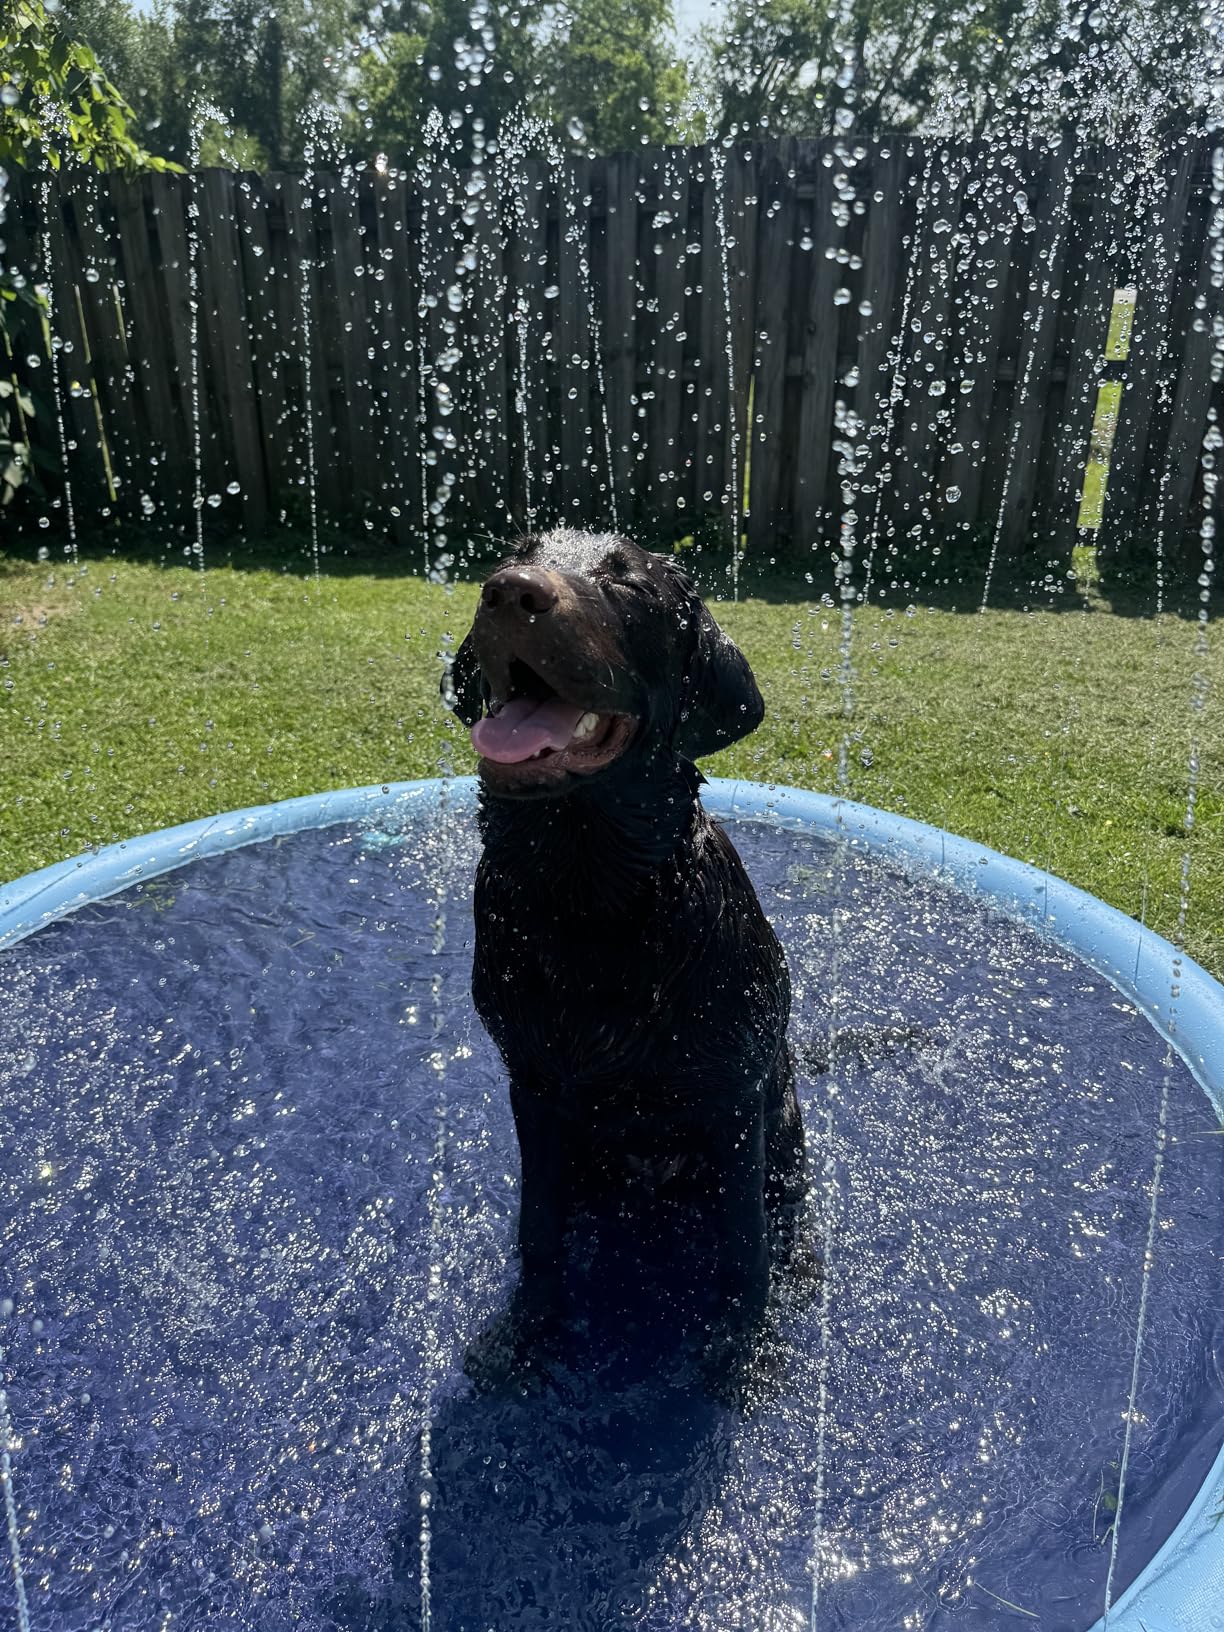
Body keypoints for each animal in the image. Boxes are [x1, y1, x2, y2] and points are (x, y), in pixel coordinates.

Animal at [447, 532, 809, 1390]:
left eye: (627, 582)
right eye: (514, 552)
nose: (509, 591)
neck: (590, 903)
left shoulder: (732, 1096)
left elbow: (743, 1245)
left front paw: (741, 1346)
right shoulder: (535, 1086)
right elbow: (539, 1231)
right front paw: (527, 1332)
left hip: (783, 1122)